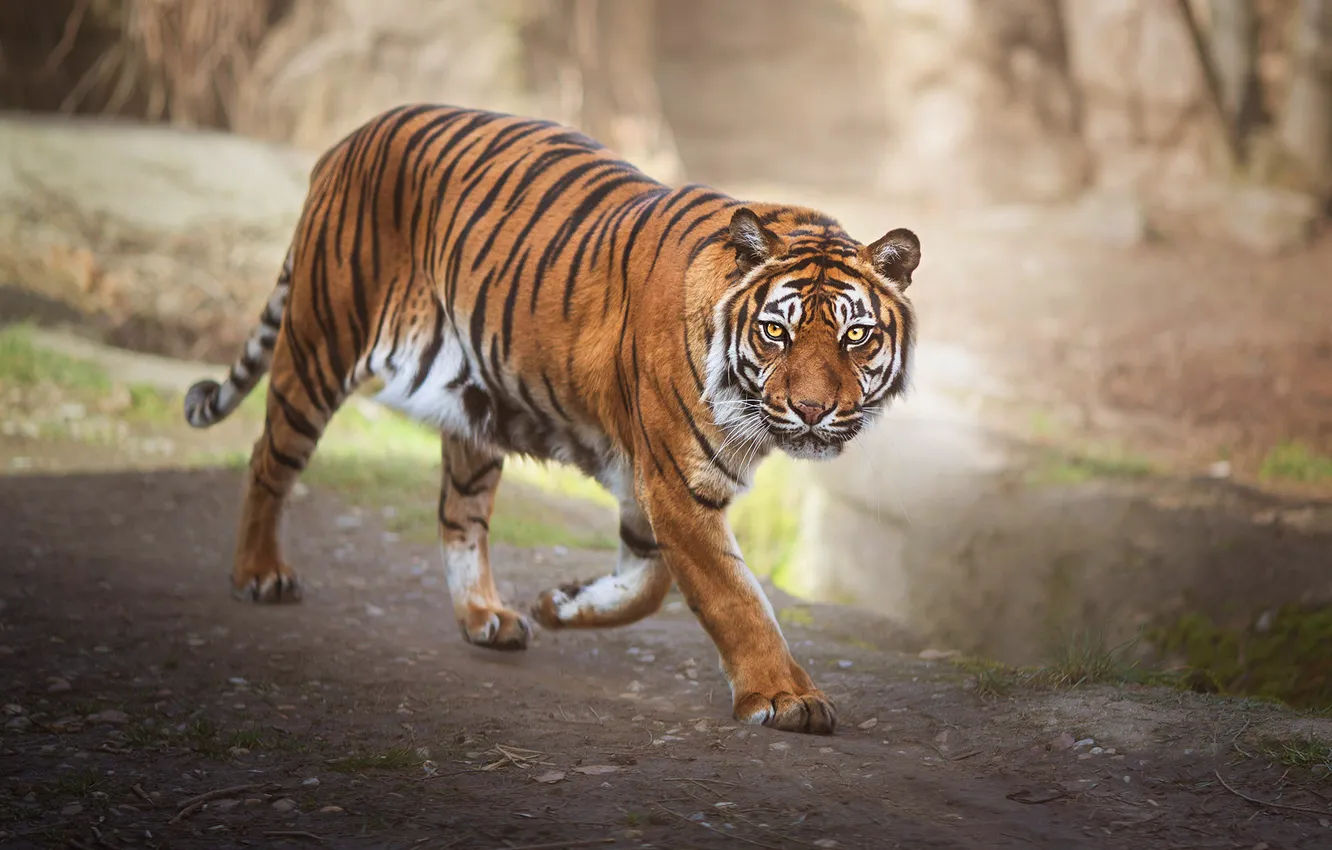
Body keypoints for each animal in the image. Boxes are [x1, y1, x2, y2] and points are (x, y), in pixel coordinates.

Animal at [184, 104, 921, 735]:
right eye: (775, 332)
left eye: (856, 337)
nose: (812, 410)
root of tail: (349, 139)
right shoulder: (675, 482)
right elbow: (733, 595)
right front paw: (786, 698)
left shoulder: (654, 483)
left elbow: (650, 582)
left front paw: (561, 602)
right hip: (320, 343)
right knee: (268, 460)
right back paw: (258, 574)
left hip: (473, 404)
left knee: (458, 515)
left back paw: (485, 617)